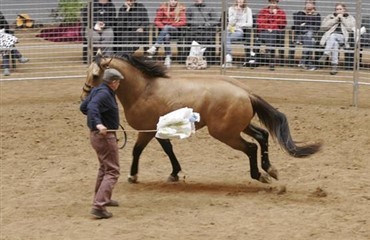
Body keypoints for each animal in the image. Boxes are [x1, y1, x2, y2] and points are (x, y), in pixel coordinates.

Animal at [81, 52, 320, 184]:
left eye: (95, 75)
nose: (84, 98)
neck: (143, 90)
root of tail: (246, 93)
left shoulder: (147, 131)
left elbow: (137, 150)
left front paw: (133, 176)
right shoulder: (158, 131)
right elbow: (169, 150)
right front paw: (175, 174)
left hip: (225, 133)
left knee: (251, 147)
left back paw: (259, 175)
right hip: (239, 127)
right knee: (262, 136)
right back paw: (270, 169)